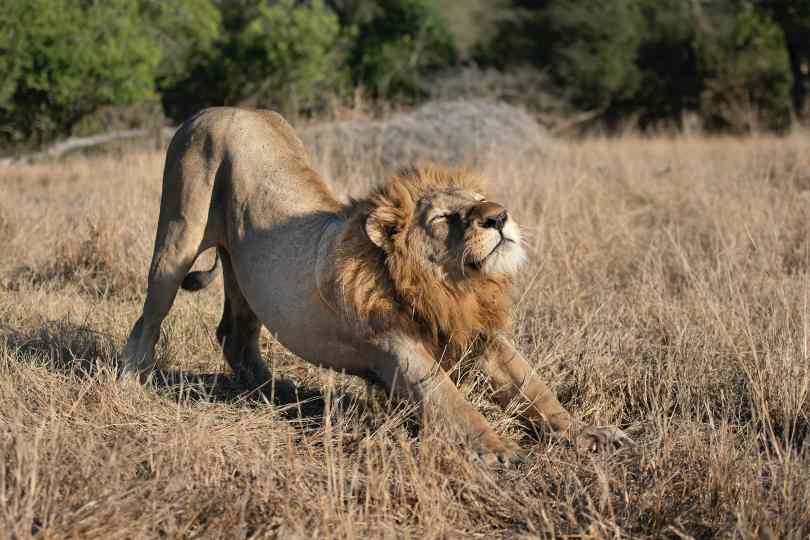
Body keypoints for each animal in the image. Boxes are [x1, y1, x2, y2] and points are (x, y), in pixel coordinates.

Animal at [122, 107, 630, 464]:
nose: (499, 216)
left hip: (245, 276)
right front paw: (497, 449)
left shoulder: (481, 335)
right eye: (444, 218)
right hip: (178, 233)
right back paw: (131, 381)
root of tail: (220, 108)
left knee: (235, 336)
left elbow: (535, 389)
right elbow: (451, 400)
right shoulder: (398, 348)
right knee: (148, 321)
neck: (453, 289)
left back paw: (281, 393)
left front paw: (587, 431)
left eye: (480, 201)